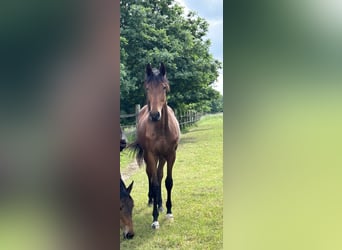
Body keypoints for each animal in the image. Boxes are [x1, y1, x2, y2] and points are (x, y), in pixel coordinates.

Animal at [130, 62, 180, 229]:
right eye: (147, 88)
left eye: (164, 87)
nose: (154, 115)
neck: (162, 129)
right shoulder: (151, 155)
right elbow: (155, 183)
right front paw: (155, 218)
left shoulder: (171, 154)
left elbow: (168, 181)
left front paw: (169, 211)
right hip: (150, 157)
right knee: (150, 176)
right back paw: (152, 200)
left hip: (162, 157)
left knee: (158, 174)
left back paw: (160, 204)